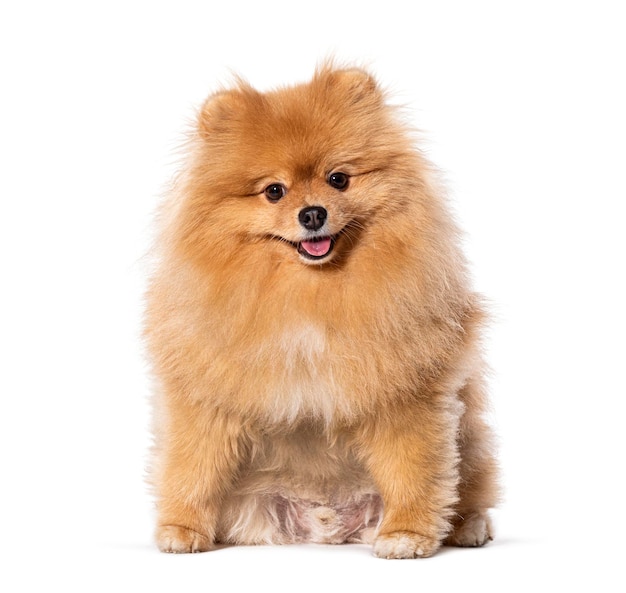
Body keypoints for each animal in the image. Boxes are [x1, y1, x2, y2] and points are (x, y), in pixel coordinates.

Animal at [145, 66, 498, 560]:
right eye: (274, 191)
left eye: (338, 179)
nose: (312, 213)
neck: (310, 293)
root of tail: (326, 525)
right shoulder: (207, 392)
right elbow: (193, 465)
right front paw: (182, 528)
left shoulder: (405, 392)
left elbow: (411, 469)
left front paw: (407, 533)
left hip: (473, 441)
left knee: (469, 491)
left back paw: (469, 527)